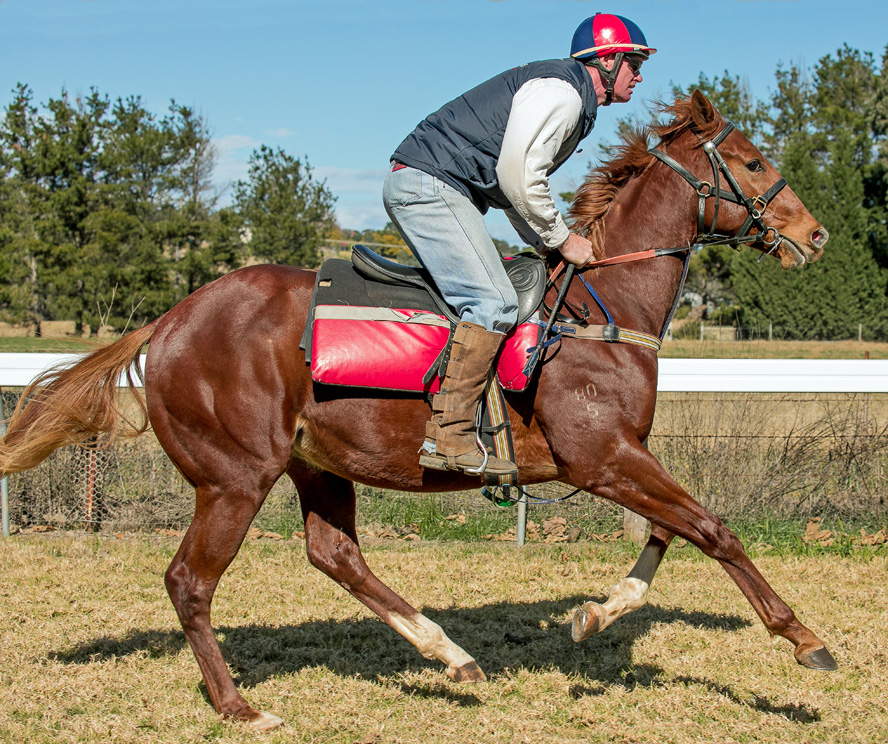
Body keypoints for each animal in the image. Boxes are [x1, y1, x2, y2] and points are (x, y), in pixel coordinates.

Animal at [0, 92, 833, 730]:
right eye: (752, 161)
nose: (814, 233)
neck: (598, 308)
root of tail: (167, 322)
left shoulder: (623, 455)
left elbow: (670, 530)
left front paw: (596, 613)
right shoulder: (601, 457)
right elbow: (713, 530)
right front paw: (803, 637)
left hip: (314, 462)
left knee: (334, 555)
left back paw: (450, 655)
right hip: (234, 476)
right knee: (189, 582)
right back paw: (240, 706)